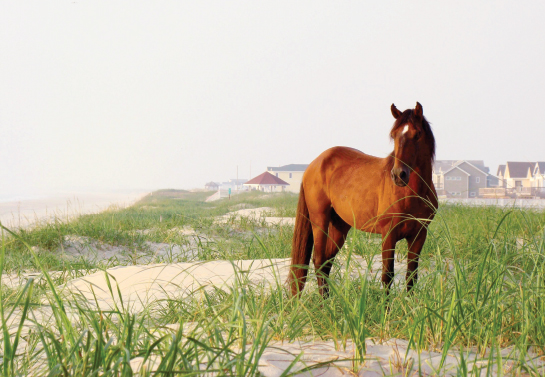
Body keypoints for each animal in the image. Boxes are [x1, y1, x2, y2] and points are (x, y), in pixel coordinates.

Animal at [286, 102, 436, 296]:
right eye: (394, 135)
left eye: (417, 134)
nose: (398, 175)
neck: (412, 195)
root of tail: (314, 164)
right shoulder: (388, 233)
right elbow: (387, 275)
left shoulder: (419, 234)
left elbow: (411, 276)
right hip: (319, 219)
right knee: (319, 261)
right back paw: (324, 303)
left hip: (339, 226)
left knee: (326, 263)